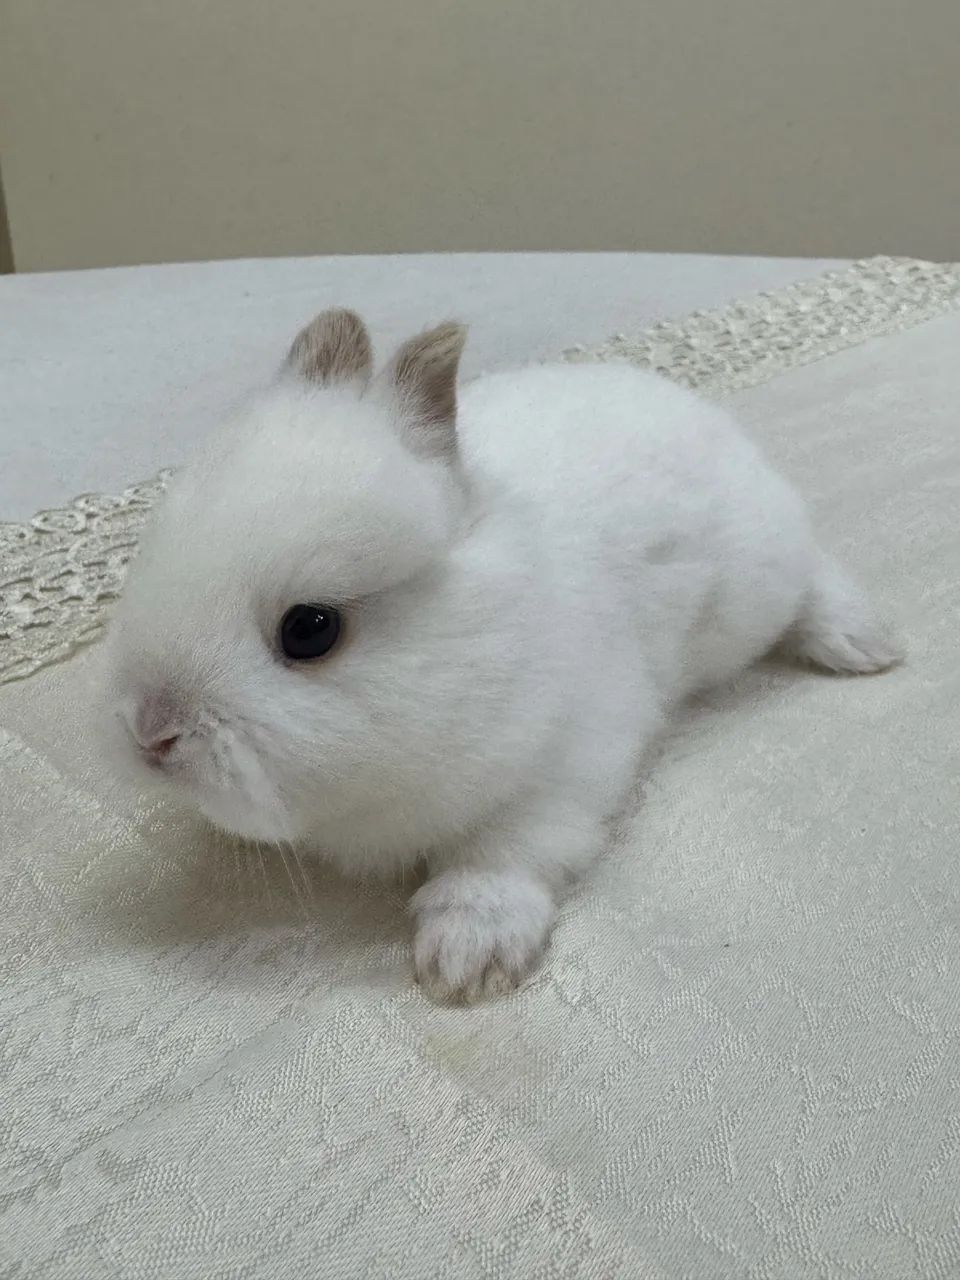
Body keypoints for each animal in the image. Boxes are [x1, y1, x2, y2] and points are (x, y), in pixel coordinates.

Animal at [101, 307, 901, 1003]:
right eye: (148, 556)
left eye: (310, 630)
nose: (150, 733)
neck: (478, 639)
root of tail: (706, 417)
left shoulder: (562, 772)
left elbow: (501, 858)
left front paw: (463, 964)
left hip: (759, 585)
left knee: (812, 576)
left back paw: (865, 645)